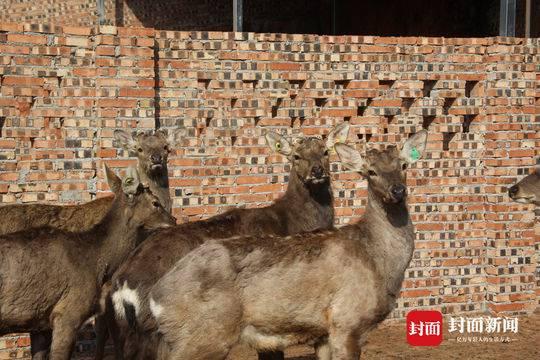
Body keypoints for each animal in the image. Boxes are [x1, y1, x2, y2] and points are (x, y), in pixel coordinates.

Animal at [98, 122, 350, 358]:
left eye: (325, 151)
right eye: (296, 156)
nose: (317, 171)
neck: (290, 221)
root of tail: (123, 287)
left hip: (121, 334)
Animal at [150, 129, 428, 360]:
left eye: (404, 165)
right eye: (370, 172)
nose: (397, 190)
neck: (379, 262)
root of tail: (157, 294)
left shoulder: (323, 333)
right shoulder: (346, 320)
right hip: (206, 333)